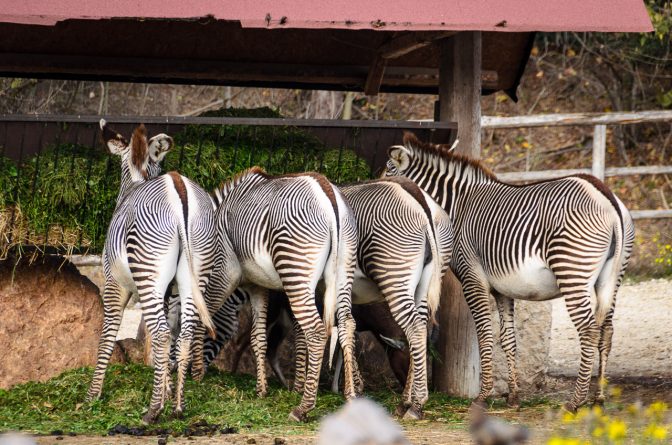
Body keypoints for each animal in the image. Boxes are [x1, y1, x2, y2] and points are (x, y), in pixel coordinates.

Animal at [86, 119, 239, 422]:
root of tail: (180, 191)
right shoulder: (169, 291)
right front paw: (167, 390)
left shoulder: (113, 283)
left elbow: (107, 334)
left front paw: (92, 396)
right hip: (194, 274)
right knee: (184, 333)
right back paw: (178, 407)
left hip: (148, 275)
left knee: (160, 333)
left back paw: (153, 410)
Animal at [211, 166, 360, 420]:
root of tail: (329, 195)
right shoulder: (263, 285)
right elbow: (266, 336)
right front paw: (268, 389)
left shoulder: (243, 281)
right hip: (342, 271)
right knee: (347, 325)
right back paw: (350, 398)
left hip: (295, 267)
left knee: (317, 331)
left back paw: (303, 407)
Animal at [384, 130, 636, 412]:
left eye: (387, 172)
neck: (458, 206)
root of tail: (607, 196)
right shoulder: (502, 289)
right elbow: (508, 339)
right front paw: (513, 396)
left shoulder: (472, 279)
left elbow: (484, 335)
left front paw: (482, 397)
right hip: (611, 279)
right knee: (607, 330)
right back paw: (599, 398)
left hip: (572, 271)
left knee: (589, 330)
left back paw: (575, 401)